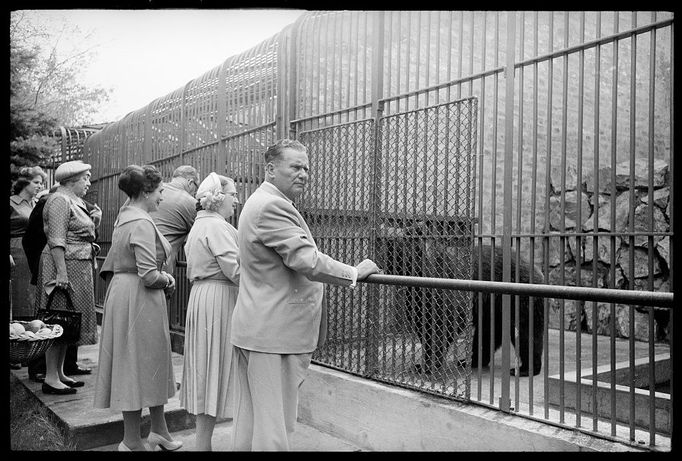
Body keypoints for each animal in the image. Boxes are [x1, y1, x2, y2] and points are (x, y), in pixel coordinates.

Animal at [374, 221, 544, 376]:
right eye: (379, 241)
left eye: (390, 242)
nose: (377, 258)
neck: (416, 273)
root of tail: (532, 265)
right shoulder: (416, 297)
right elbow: (423, 324)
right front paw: (421, 364)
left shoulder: (445, 286)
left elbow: (444, 322)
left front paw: (428, 365)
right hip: (493, 305)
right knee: (487, 332)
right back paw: (469, 360)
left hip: (520, 294)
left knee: (526, 331)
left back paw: (524, 369)